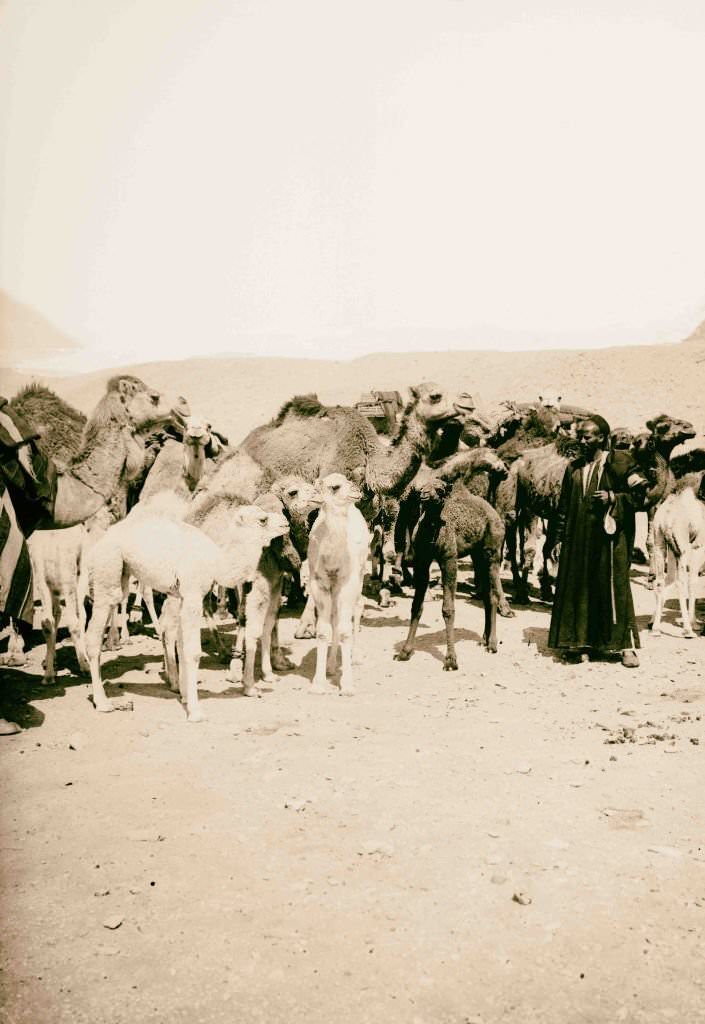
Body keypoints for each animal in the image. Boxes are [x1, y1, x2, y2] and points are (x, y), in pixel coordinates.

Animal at [305, 471, 370, 696]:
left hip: (360, 574)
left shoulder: (347, 582)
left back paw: (355, 657)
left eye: (349, 481)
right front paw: (318, 683)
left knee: (357, 607)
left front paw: (348, 686)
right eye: (334, 487)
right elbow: (323, 630)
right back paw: (332, 666)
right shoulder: (320, 583)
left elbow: (344, 630)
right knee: (334, 617)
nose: (357, 491)